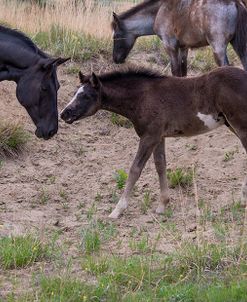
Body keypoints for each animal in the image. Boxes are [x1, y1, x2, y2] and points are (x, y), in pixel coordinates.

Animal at [60, 65, 247, 217]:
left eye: (85, 96)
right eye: (75, 93)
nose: (63, 113)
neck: (142, 97)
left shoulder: (149, 137)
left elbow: (135, 169)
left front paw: (117, 210)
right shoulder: (159, 137)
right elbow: (160, 165)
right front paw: (163, 205)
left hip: (240, 126)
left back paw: (241, 199)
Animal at [113, 0, 247, 76]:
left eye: (116, 36)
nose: (116, 59)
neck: (159, 10)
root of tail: (235, 2)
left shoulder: (170, 46)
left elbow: (176, 72)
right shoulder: (183, 48)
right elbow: (183, 72)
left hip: (218, 49)